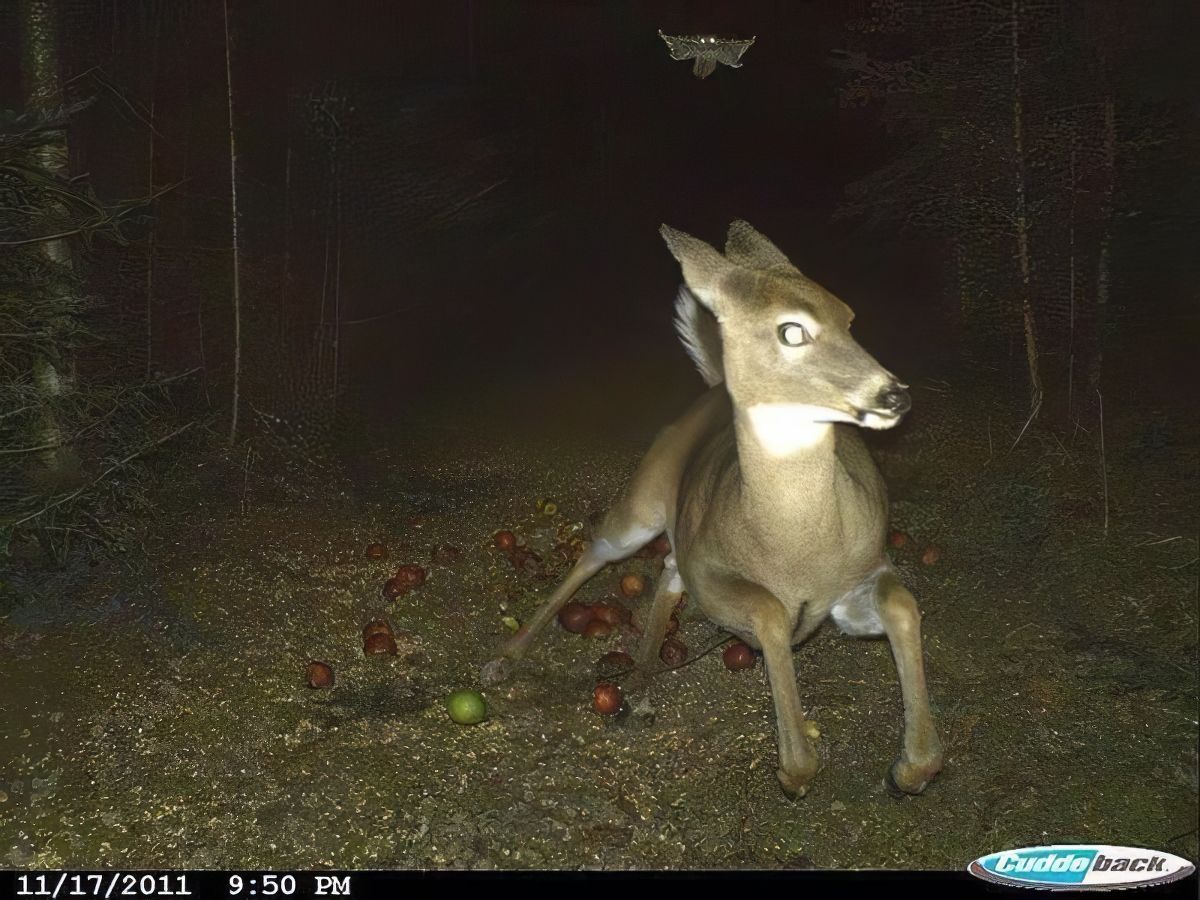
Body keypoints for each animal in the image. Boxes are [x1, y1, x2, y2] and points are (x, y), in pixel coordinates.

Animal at [482, 222, 940, 801]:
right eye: (792, 331)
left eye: (849, 317)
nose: (894, 395)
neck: (797, 549)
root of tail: (713, 389)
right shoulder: (714, 577)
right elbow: (768, 611)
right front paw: (794, 769)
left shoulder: (862, 573)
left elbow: (902, 604)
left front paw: (911, 767)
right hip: (644, 499)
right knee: (599, 552)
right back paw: (504, 660)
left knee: (665, 570)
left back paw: (641, 686)